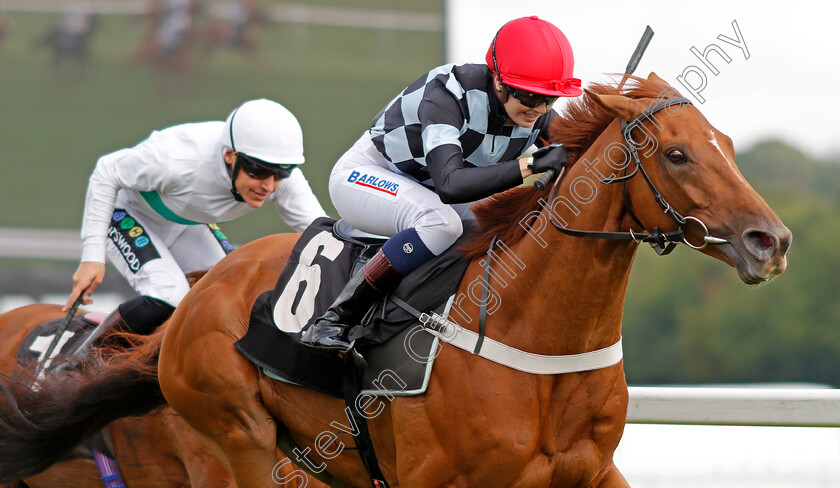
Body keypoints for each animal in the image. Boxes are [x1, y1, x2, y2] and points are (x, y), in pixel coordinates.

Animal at [0, 73, 792, 488]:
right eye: (679, 154)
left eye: (727, 145)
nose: (772, 241)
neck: (536, 341)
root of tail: (200, 295)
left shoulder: (593, 473)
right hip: (242, 442)